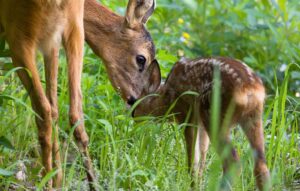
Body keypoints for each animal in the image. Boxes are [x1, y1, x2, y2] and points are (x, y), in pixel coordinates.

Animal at [1, 0, 157, 189]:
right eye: (141, 59)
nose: (135, 102)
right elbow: (55, 108)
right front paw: (58, 178)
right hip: (68, 35)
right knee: (69, 113)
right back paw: (82, 183)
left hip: (21, 37)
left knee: (45, 110)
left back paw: (48, 181)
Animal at [135, 57, 270, 190]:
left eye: (136, 102)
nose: (133, 116)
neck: (167, 97)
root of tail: (249, 89)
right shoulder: (200, 123)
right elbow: (203, 153)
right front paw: (199, 184)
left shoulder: (187, 114)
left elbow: (193, 157)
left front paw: (193, 185)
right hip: (253, 118)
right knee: (261, 165)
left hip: (213, 114)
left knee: (233, 162)